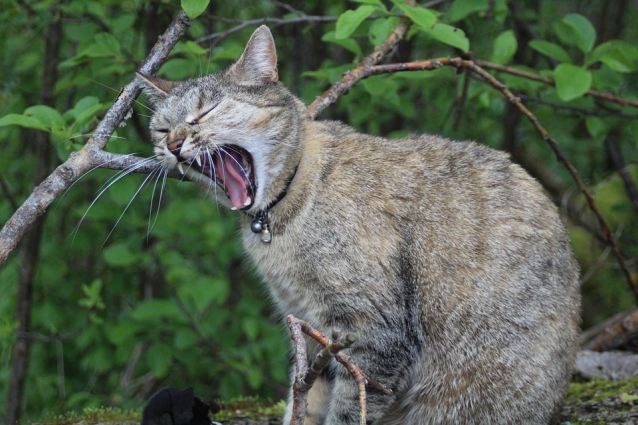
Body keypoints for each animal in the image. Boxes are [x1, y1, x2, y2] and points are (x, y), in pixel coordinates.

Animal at [138, 24, 584, 422]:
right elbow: (304, 400)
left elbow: (348, 408)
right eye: (161, 130)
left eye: (205, 112)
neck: (285, 214)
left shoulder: (374, 333)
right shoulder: (311, 327)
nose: (174, 144)